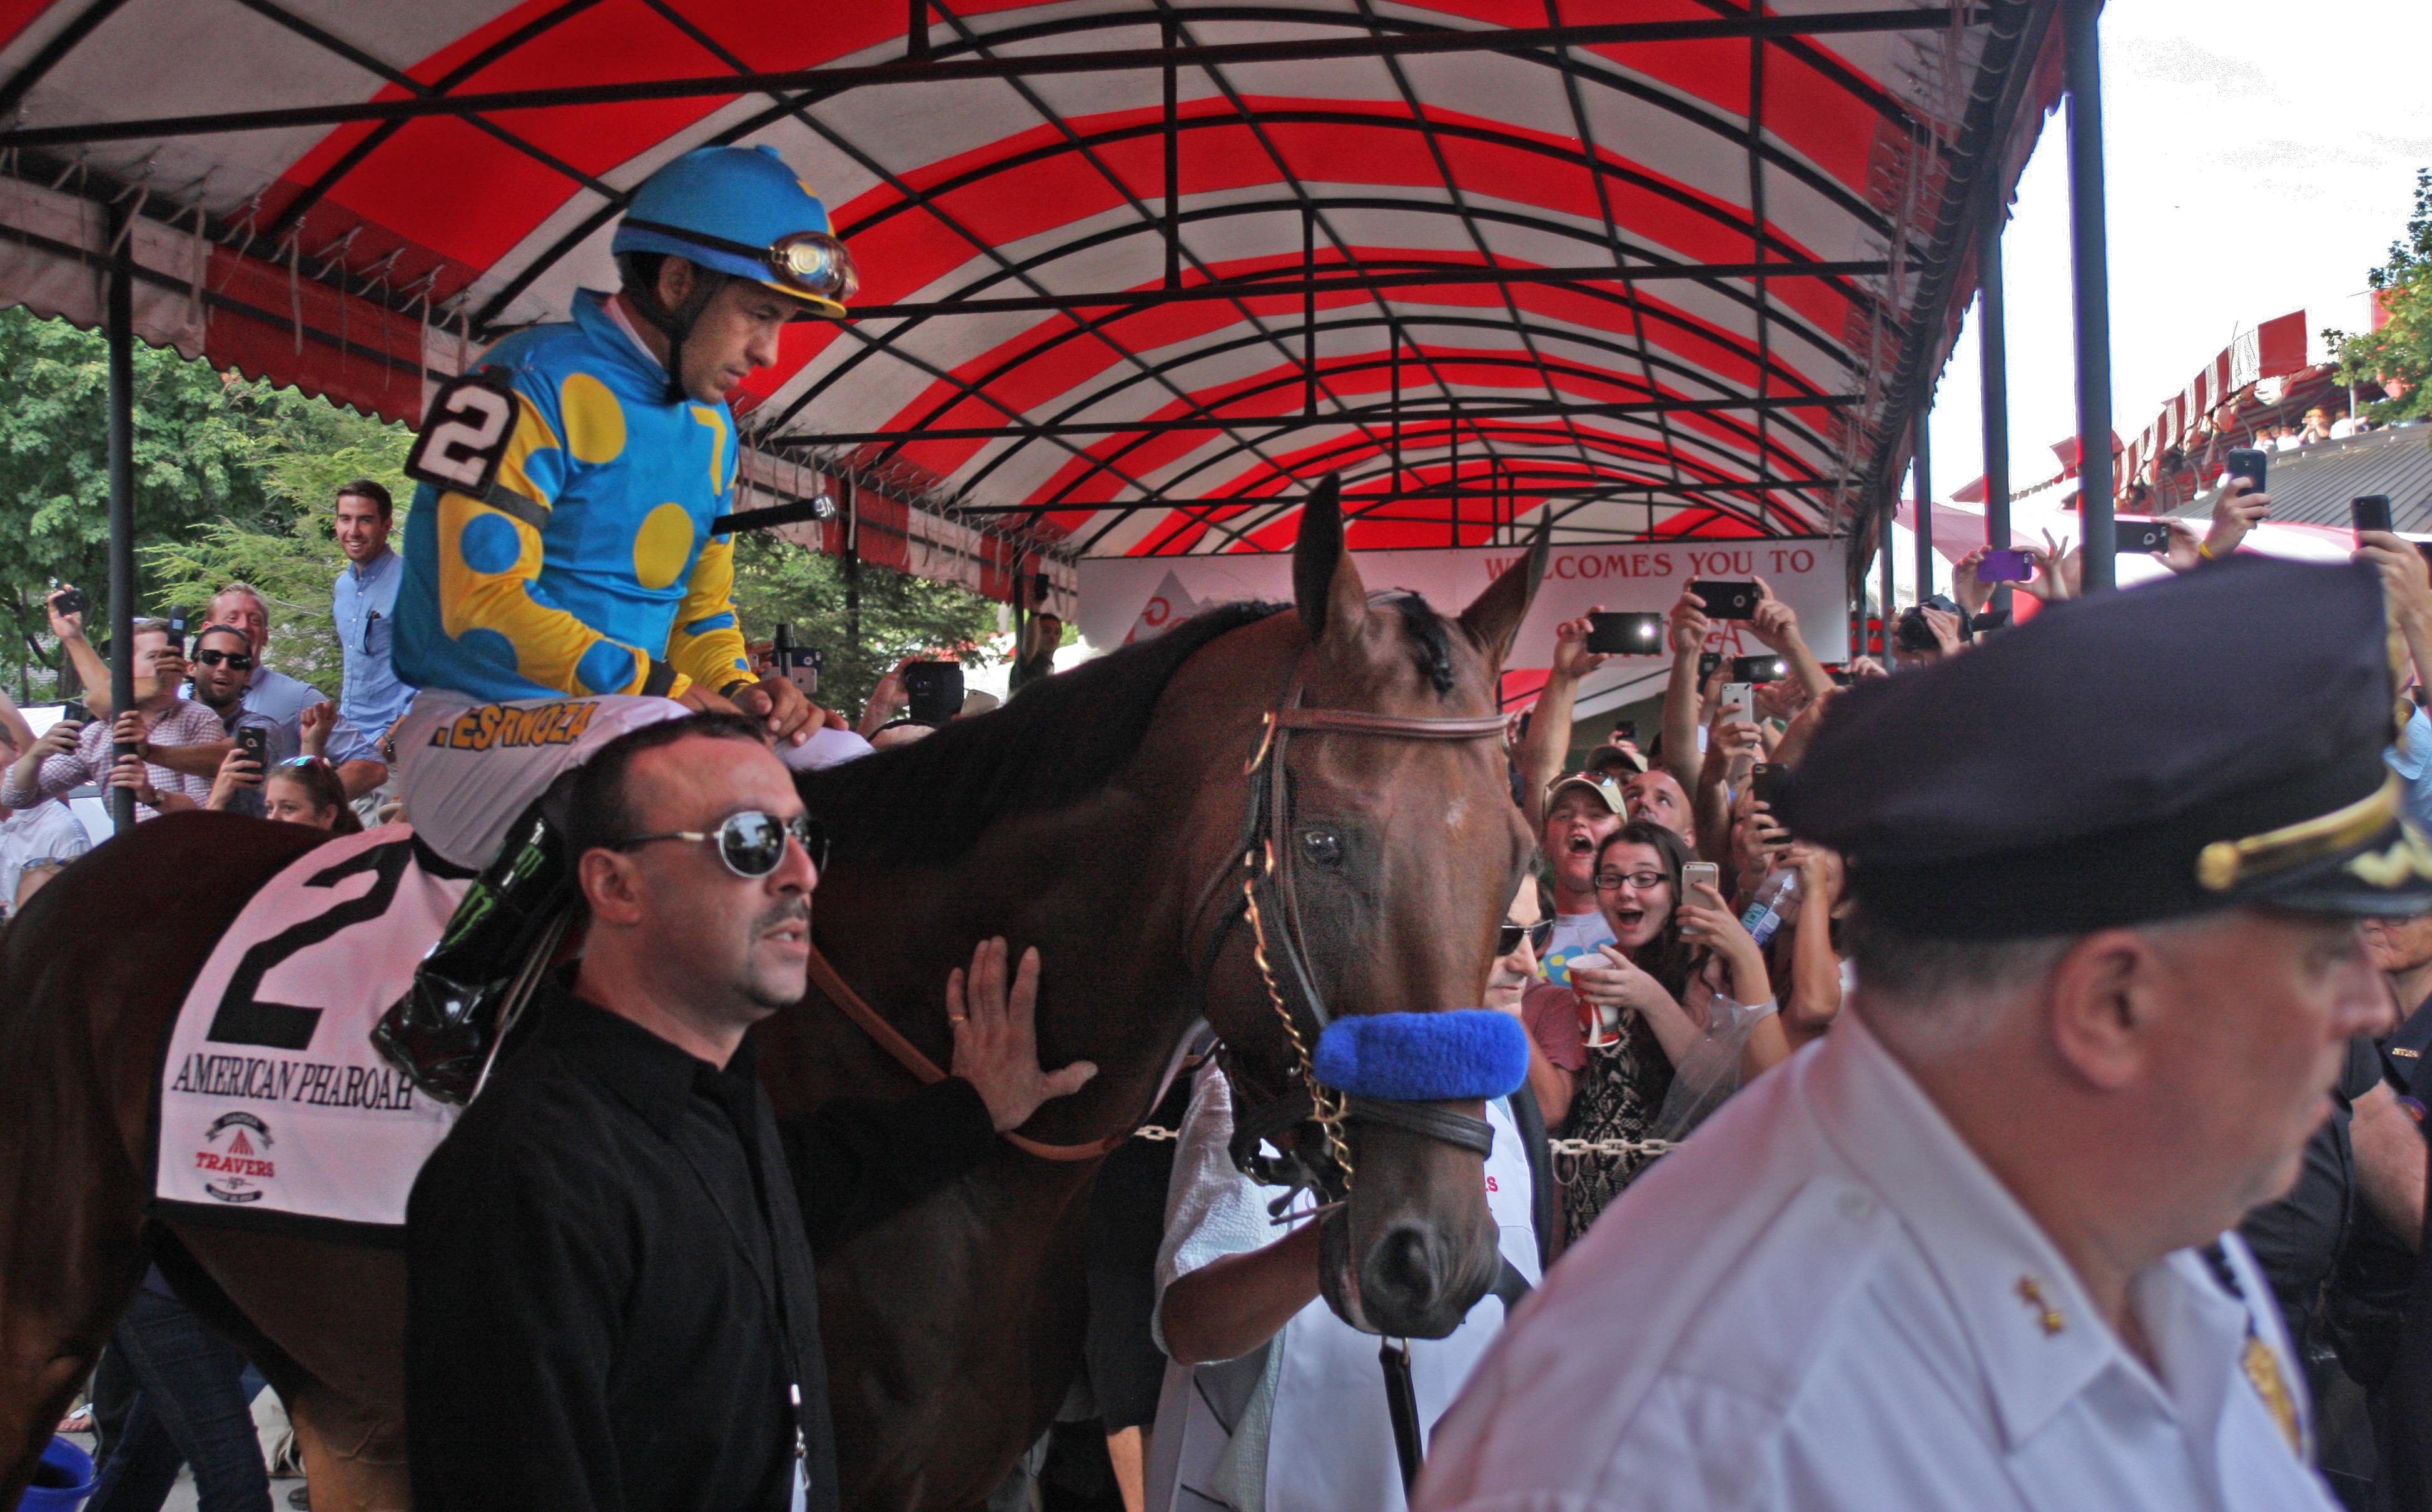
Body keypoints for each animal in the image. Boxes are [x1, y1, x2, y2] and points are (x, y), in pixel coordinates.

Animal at [0, 488, 1546, 1512]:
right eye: (1329, 843)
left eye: (1518, 850)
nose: (1436, 1255)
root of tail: (78, 886)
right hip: (46, 1316)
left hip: (345, 1379)